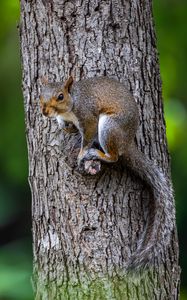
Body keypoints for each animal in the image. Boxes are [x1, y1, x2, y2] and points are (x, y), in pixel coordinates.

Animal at [39, 76, 174, 270]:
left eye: (60, 96)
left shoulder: (88, 117)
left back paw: (98, 154)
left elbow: (87, 136)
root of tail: (127, 143)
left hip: (109, 127)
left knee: (114, 157)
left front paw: (81, 153)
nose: (44, 112)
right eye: (40, 95)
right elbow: (66, 125)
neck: (73, 103)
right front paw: (65, 126)